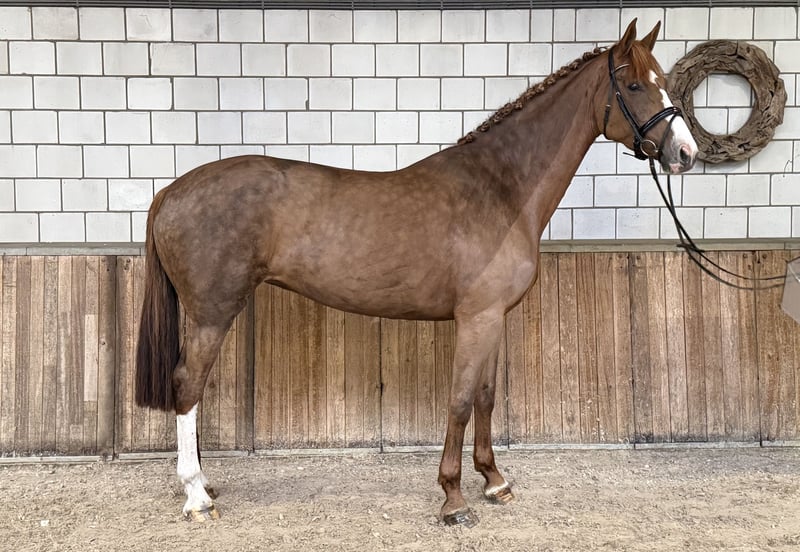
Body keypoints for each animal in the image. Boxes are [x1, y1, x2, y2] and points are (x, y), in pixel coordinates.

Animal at [135, 19, 697, 527]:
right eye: (633, 85)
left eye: (665, 81)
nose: (686, 154)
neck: (502, 188)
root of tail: (172, 190)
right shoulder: (474, 319)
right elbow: (460, 402)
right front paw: (453, 499)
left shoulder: (493, 318)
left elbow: (486, 398)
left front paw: (495, 481)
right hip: (211, 314)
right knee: (188, 385)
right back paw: (196, 496)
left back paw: (205, 484)